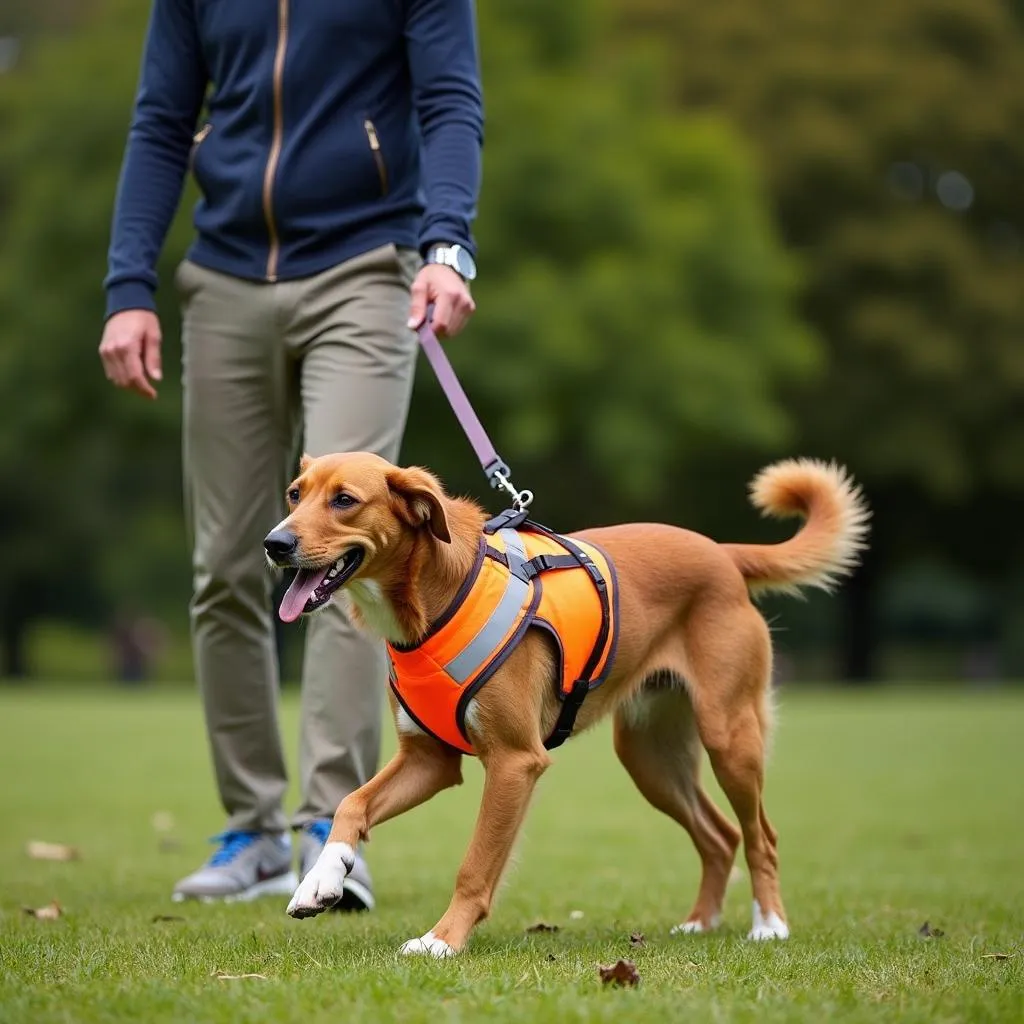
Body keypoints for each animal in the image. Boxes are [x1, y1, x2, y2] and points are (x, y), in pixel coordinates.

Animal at [262, 452, 864, 954]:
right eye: (294, 493)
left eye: (344, 500)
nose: (274, 543)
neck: (436, 597)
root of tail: (720, 552)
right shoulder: (428, 760)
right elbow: (352, 803)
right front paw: (322, 879)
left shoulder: (515, 762)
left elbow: (474, 866)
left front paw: (441, 941)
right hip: (650, 757)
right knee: (721, 835)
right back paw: (700, 922)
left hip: (728, 736)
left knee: (762, 835)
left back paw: (770, 924)